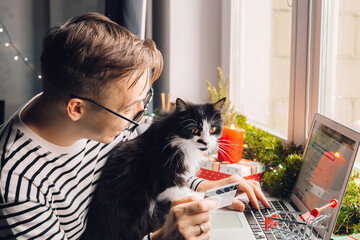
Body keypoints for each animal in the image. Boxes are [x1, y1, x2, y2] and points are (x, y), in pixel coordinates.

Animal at [81, 97, 225, 240]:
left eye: (212, 129)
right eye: (194, 131)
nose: (206, 142)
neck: (175, 138)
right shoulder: (165, 181)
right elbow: (181, 192)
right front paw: (199, 199)